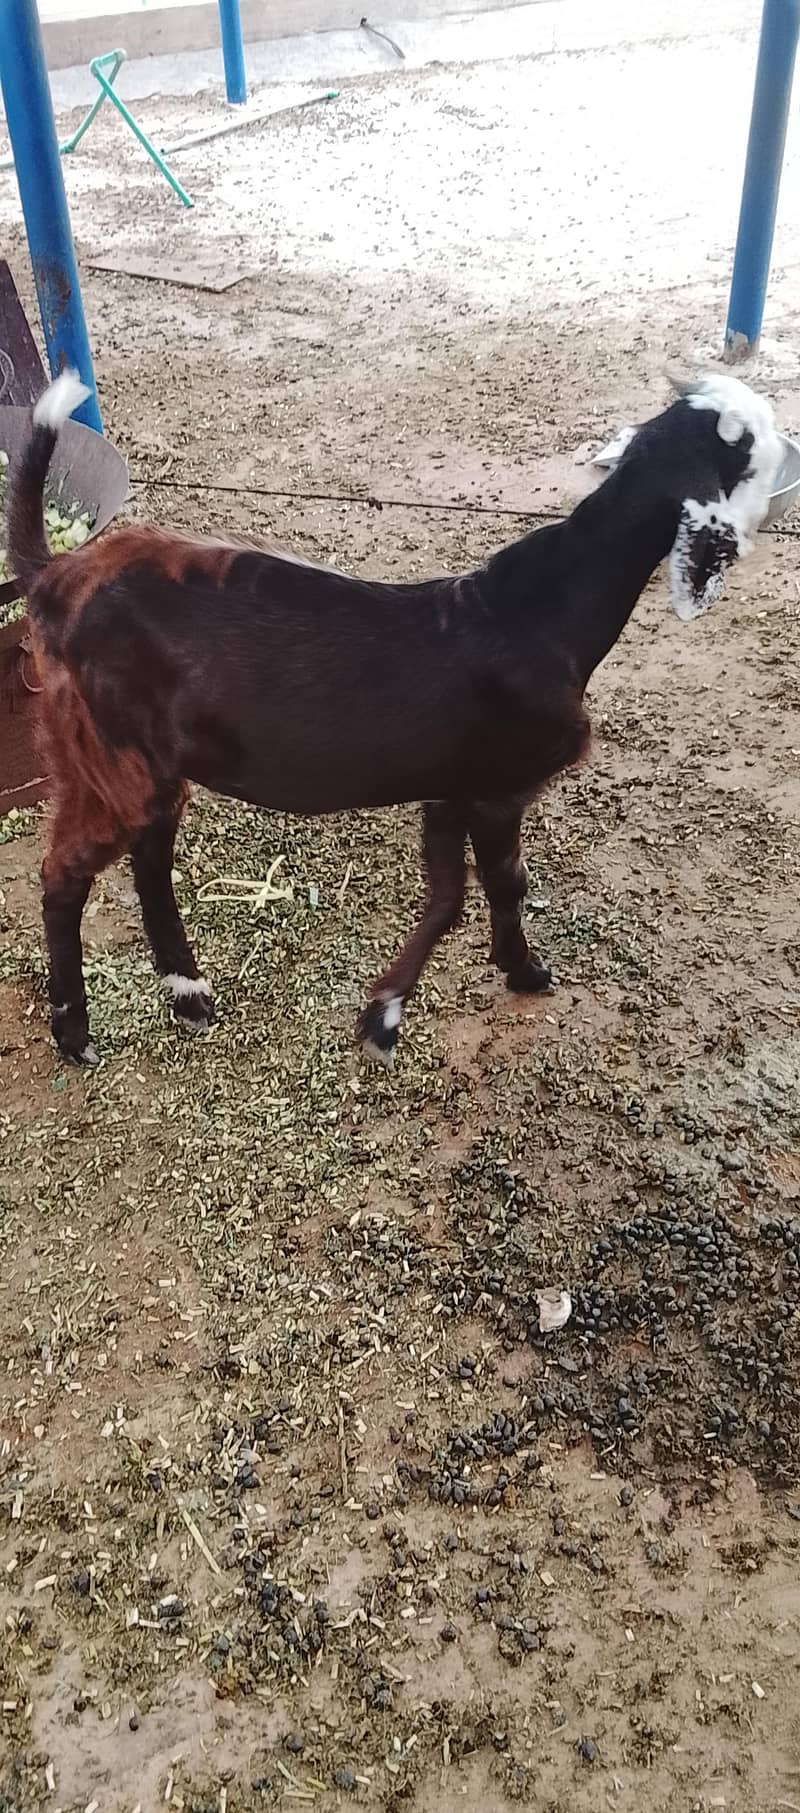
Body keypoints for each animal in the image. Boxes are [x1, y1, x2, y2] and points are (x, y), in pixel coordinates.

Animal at [7, 369, 781, 1068]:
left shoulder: (451, 790)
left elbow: (454, 894)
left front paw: (410, 1001)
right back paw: (75, 1032)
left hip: (142, 763)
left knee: (148, 859)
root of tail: (57, 576)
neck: (540, 610)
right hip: (108, 751)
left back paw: (188, 994)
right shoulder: (497, 788)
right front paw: (429, 1003)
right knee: (65, 873)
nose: (781, 443)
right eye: (749, 443)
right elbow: (497, 884)